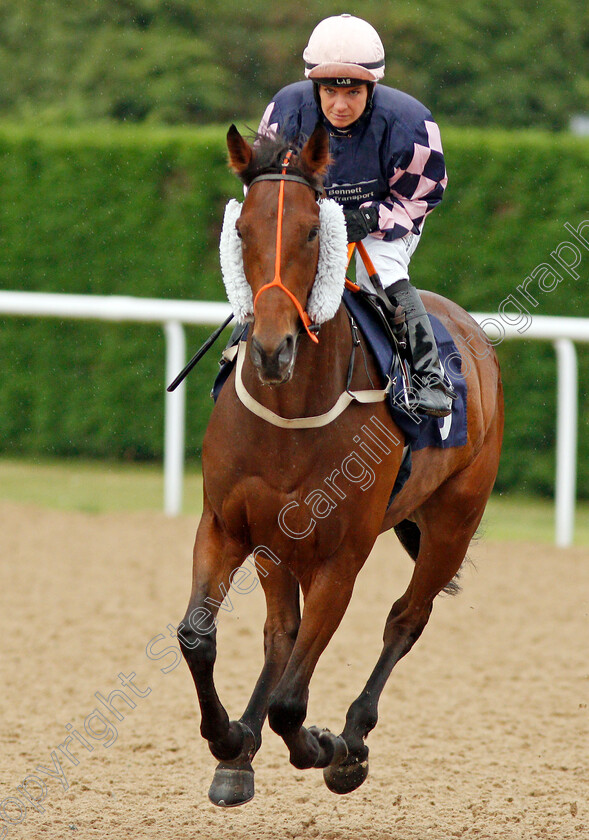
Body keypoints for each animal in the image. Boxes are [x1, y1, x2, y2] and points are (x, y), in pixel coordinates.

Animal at [177, 123, 504, 808]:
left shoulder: (341, 557)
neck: (290, 416)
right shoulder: (227, 527)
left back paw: (352, 737)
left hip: (453, 522)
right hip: (277, 544)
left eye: (310, 231)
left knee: (406, 618)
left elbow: (294, 704)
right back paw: (241, 751)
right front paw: (228, 740)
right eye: (241, 229)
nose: (272, 350)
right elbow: (198, 638)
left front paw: (325, 747)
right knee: (281, 633)